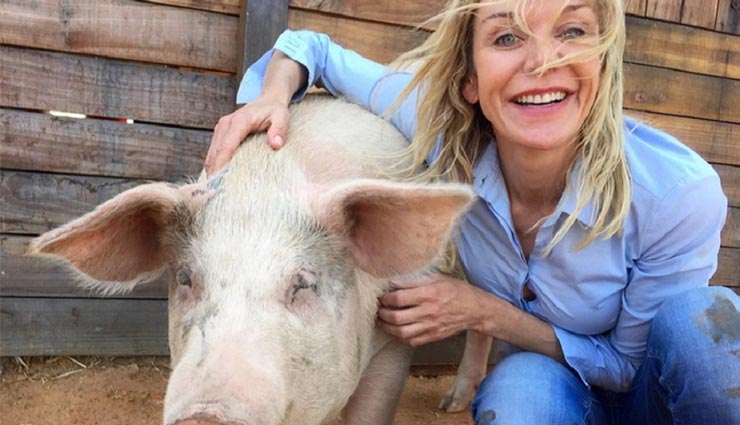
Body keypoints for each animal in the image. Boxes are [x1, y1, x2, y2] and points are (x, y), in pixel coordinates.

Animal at [29, 95, 479, 425]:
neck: (263, 181)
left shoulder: (394, 341)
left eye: (303, 283)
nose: (205, 419)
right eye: (186, 278)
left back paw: (452, 405)